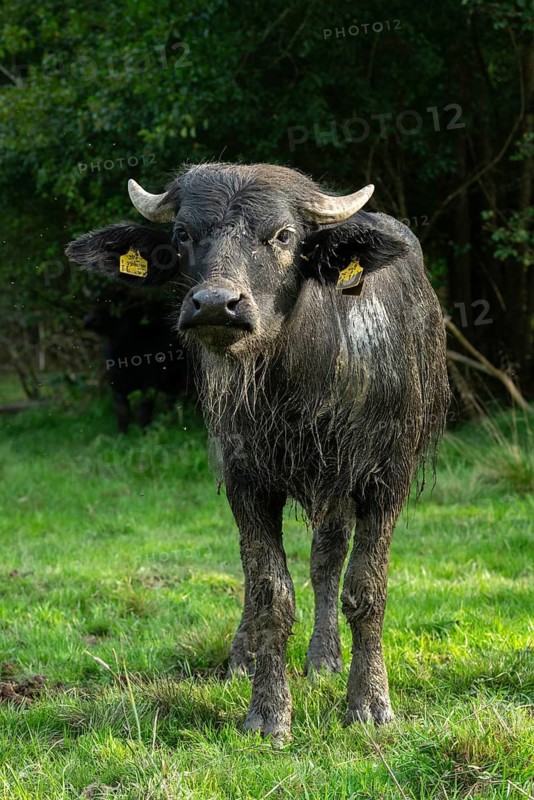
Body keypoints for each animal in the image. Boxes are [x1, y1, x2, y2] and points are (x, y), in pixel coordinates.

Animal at [67, 162, 450, 740]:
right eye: (183, 234)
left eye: (284, 236)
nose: (214, 304)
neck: (299, 386)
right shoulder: (246, 480)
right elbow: (270, 590)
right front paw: (268, 712)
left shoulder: (387, 477)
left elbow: (365, 587)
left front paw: (369, 702)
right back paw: (245, 658)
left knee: (327, 557)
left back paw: (324, 658)